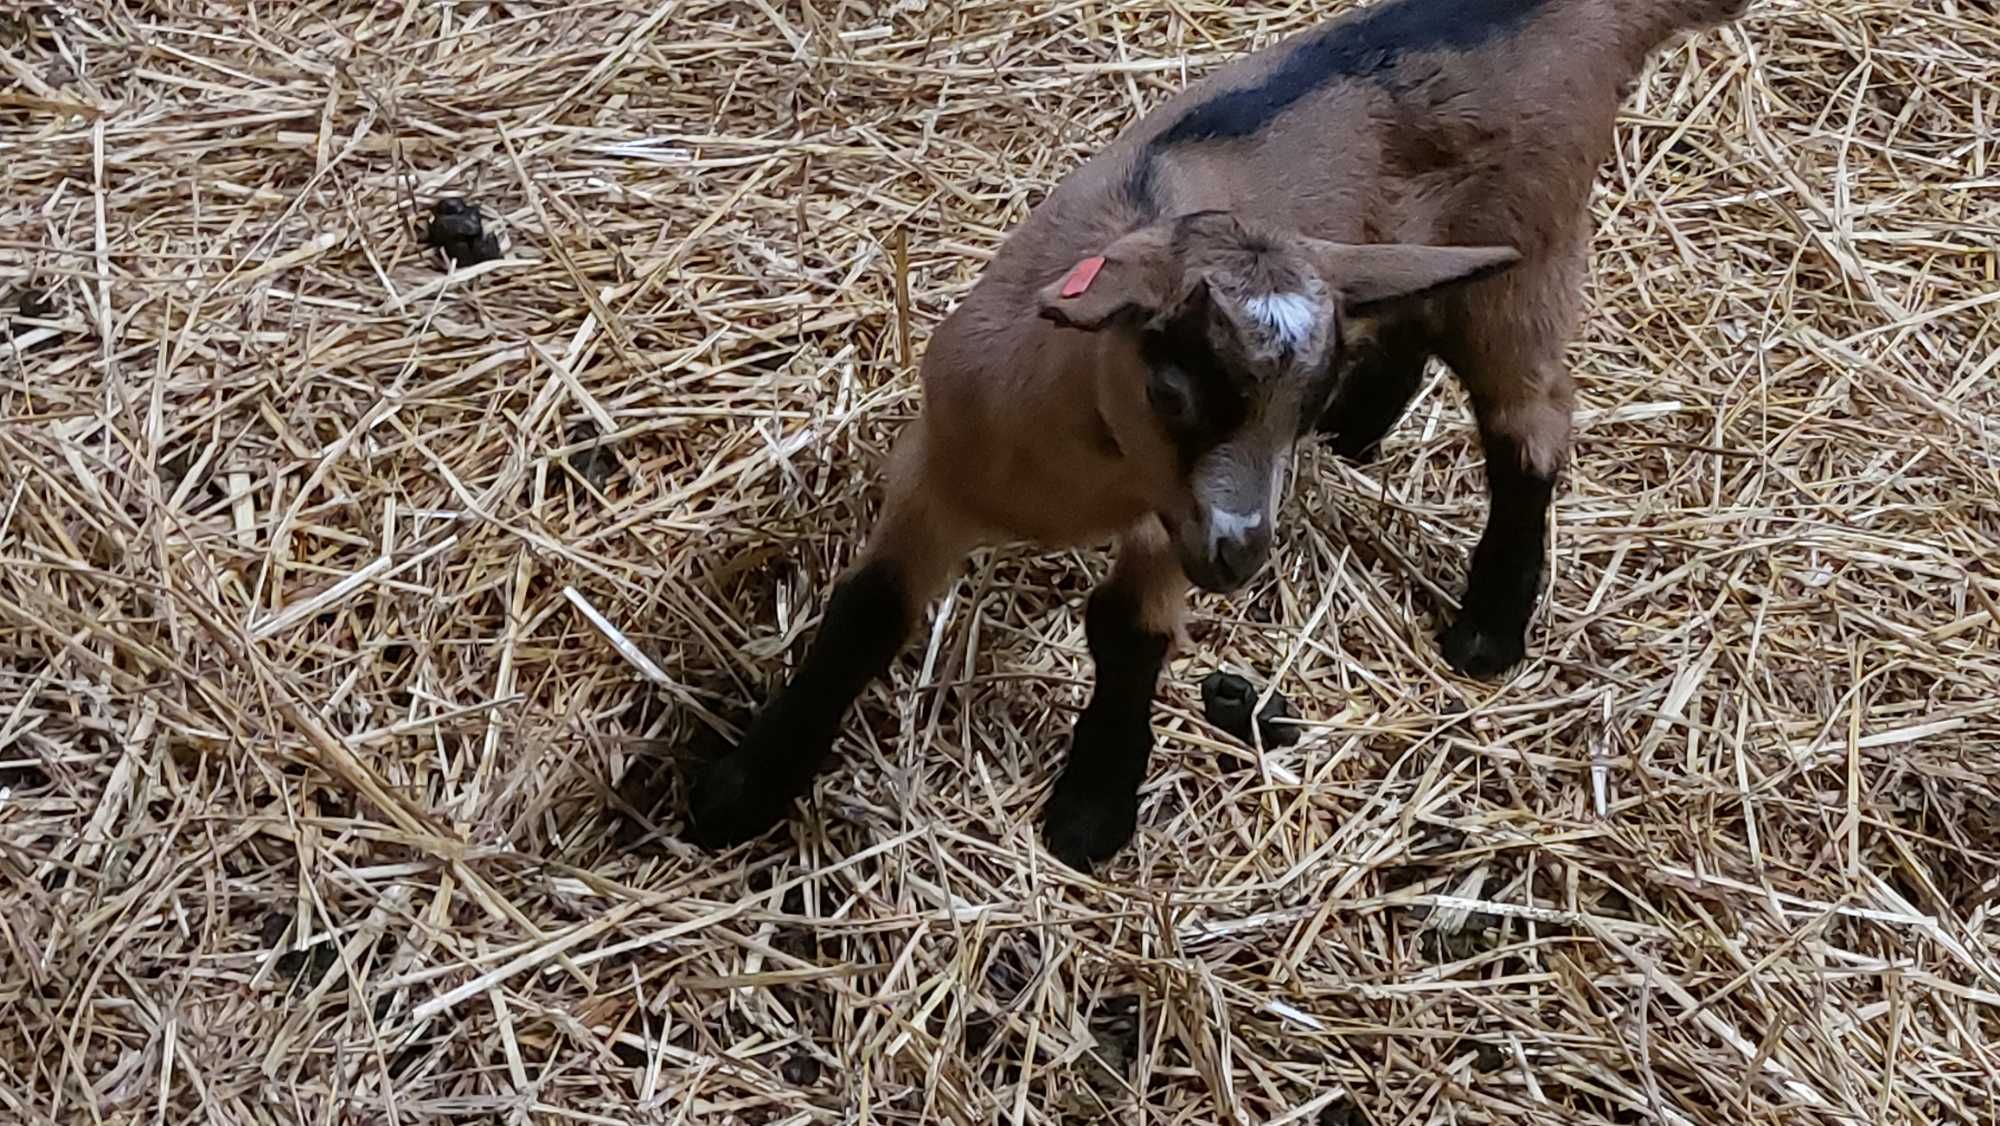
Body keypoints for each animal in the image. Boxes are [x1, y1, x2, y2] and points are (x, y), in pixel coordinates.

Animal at [688, 0, 1752, 872]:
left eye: (1294, 403)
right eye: (1171, 386)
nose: (1243, 555)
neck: (1075, 477)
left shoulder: (1169, 527)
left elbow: (1128, 632)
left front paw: (1091, 812)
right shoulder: (937, 468)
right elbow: (866, 613)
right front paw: (744, 789)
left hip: (1527, 263)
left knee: (1530, 430)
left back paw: (1489, 626)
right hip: (1423, 258)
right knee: (1414, 323)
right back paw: (1366, 433)